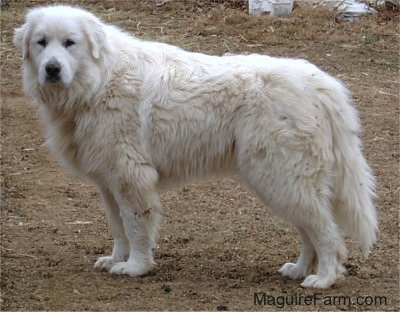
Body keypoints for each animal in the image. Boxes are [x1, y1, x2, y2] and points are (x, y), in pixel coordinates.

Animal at [14, 5, 378, 288]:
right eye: (41, 43)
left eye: (70, 43)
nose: (52, 69)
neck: (99, 80)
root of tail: (322, 84)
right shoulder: (109, 182)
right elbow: (118, 229)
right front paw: (116, 259)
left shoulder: (132, 178)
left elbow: (135, 226)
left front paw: (136, 267)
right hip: (282, 183)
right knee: (309, 230)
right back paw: (299, 269)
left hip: (281, 178)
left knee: (326, 232)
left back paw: (324, 278)